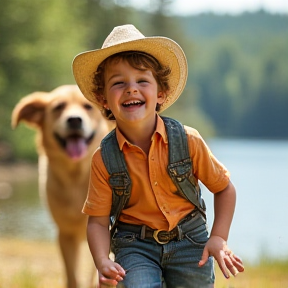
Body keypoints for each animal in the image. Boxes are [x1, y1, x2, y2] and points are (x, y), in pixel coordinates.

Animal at [12, 85, 113, 288]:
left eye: (87, 106)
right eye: (58, 107)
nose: (74, 120)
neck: (76, 179)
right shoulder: (65, 235)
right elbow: (72, 276)